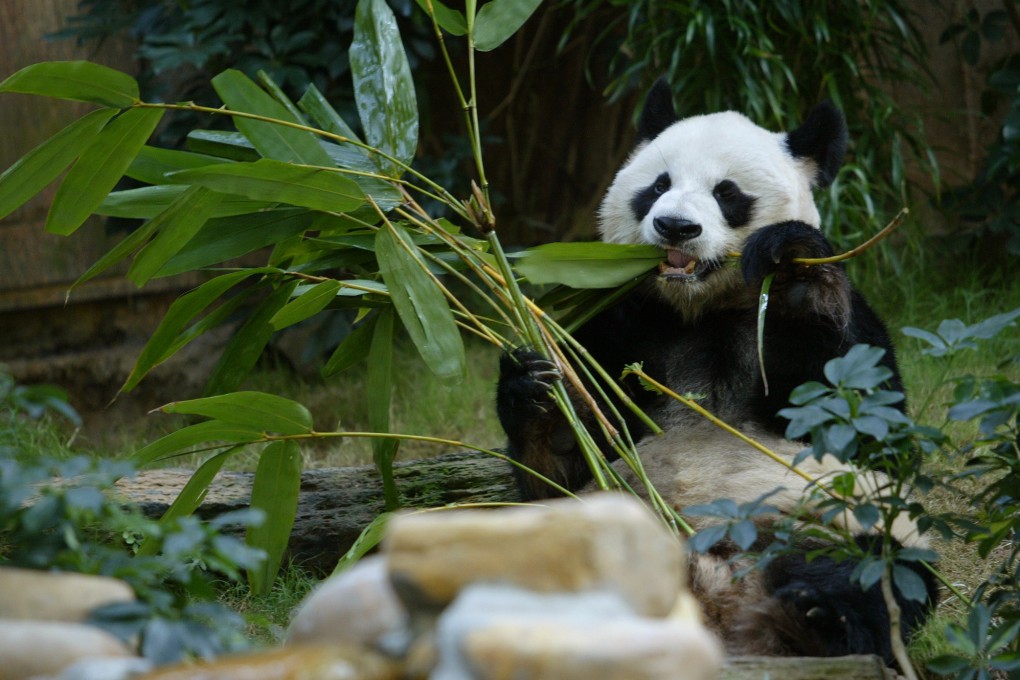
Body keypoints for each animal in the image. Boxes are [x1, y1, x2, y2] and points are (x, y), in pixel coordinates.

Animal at [497, 80, 934, 664]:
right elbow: (561, 466)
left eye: (727, 192)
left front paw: (795, 270)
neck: (700, 309)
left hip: (834, 525)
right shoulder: (613, 326)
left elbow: (868, 426)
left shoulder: (840, 333)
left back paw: (814, 621)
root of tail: (718, 597)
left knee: (875, 574)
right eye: (658, 185)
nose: (675, 226)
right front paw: (541, 400)